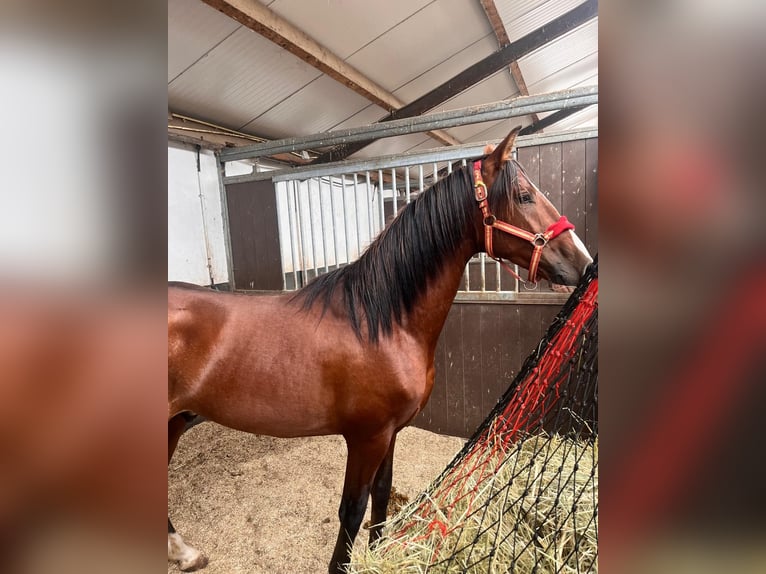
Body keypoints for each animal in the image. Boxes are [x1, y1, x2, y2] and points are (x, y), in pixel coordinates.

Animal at [168, 127, 592, 574]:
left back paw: (185, 553)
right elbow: (352, 509)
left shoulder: (391, 432)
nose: (583, 263)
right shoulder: (367, 437)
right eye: (525, 196)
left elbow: (382, 494)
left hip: (174, 422)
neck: (382, 323)